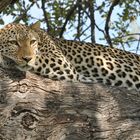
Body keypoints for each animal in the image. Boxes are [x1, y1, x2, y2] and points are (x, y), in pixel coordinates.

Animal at [0, 21, 140, 90]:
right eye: (14, 43)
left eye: (32, 42)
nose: (27, 59)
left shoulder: (61, 63)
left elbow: (37, 59)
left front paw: (5, 59)